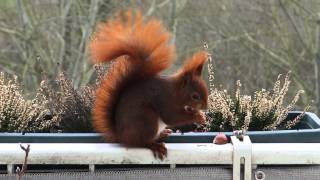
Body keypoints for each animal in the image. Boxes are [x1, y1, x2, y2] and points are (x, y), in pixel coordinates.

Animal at [89, 10, 209, 159]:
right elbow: (172, 117)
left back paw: (163, 134)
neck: (176, 92)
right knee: (141, 142)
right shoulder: (166, 100)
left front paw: (201, 115)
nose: (206, 107)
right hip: (146, 119)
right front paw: (197, 116)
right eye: (195, 96)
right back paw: (155, 145)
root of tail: (121, 136)